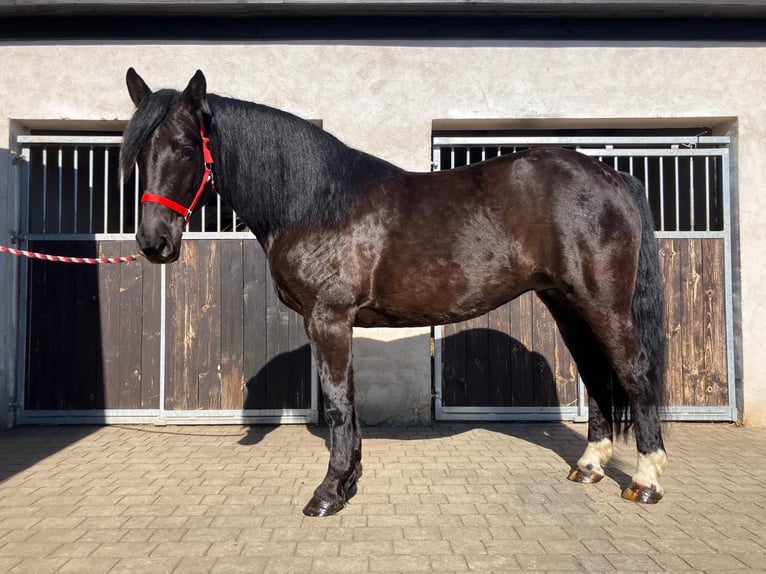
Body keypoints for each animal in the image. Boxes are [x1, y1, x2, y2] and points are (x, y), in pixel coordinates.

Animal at [121, 68, 668, 516]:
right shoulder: (333, 322)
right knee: (595, 372)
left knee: (635, 371)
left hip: (603, 304)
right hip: (566, 304)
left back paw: (645, 480)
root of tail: (612, 174)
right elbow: (348, 399)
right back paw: (590, 467)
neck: (316, 203)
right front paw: (349, 481)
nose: (154, 243)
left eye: (186, 147)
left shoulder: (328, 317)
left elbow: (337, 402)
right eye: (139, 152)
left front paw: (328, 494)